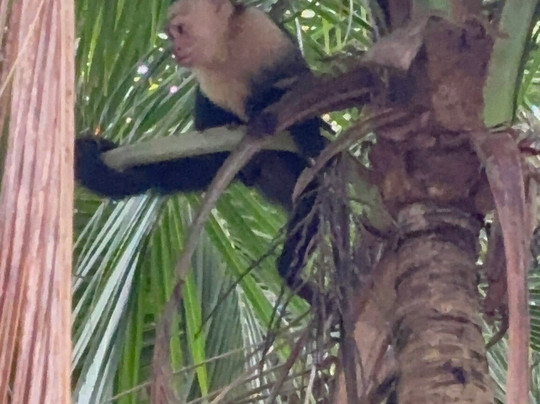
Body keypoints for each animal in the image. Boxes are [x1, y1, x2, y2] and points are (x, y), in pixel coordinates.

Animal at [75, 0, 327, 301]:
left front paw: (289, 114)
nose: (175, 49)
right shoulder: (208, 81)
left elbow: (302, 84)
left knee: (313, 189)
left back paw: (289, 269)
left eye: (181, 30)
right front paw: (243, 116)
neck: (225, 50)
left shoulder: (262, 32)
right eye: (171, 34)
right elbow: (207, 125)